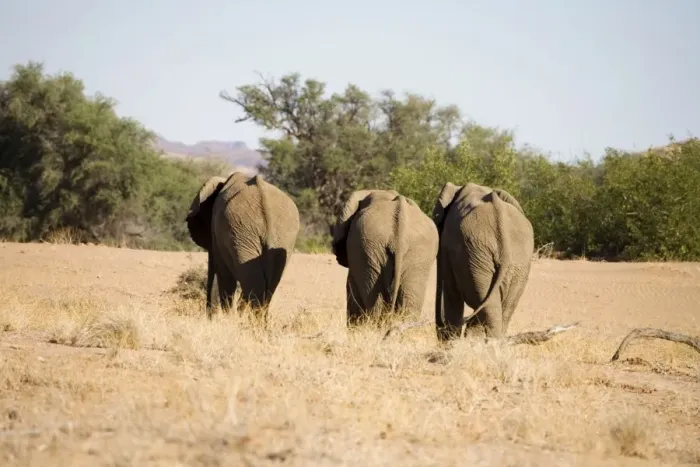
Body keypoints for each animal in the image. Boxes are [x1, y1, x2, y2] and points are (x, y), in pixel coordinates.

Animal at [185, 171, 300, 319]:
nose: (209, 317)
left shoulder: (218, 234)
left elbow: (223, 273)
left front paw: (227, 318)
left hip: (242, 232)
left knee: (251, 280)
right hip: (279, 236)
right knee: (266, 284)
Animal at [432, 182, 534, 342]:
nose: (440, 332)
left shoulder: (448, 248)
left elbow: (451, 294)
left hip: (475, 256)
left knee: (489, 307)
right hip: (512, 262)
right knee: (499, 309)